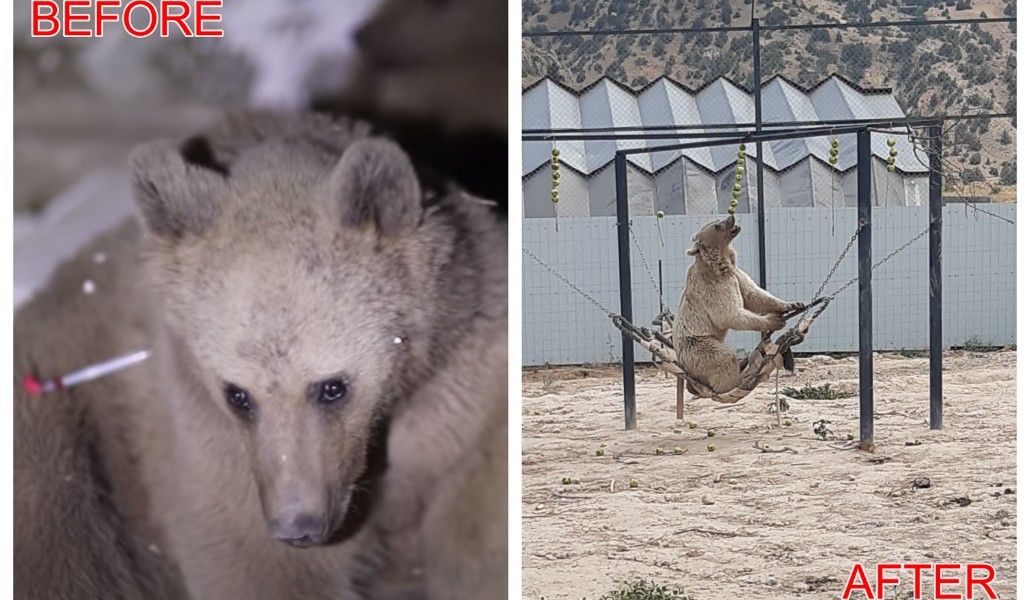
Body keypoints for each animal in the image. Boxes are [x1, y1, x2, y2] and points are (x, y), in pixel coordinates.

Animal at [14, 112, 507, 600]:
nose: (298, 526)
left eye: (332, 387)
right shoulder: (203, 433)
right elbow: (256, 563)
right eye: (237, 395)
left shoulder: (460, 385)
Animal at [672, 214, 804, 397]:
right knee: (724, 358)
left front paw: (792, 304)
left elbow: (753, 294)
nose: (731, 217)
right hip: (697, 346)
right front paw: (774, 320)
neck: (722, 263)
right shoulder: (712, 285)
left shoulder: (737, 274)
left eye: (717, 221)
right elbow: (729, 313)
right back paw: (740, 379)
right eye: (717, 226)